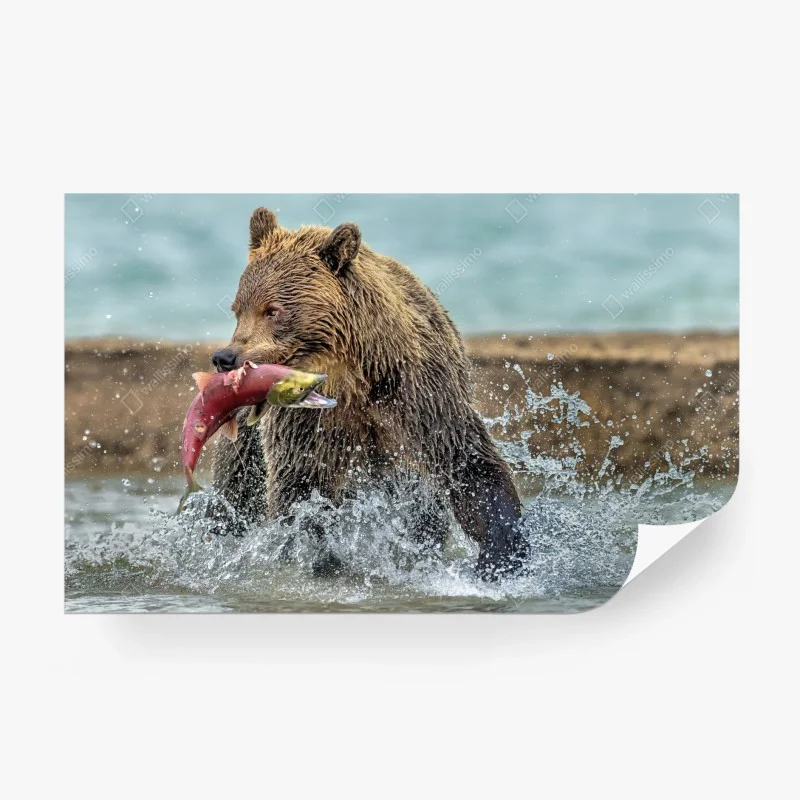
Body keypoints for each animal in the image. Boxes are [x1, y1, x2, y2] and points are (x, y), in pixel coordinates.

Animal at [209, 207, 528, 580]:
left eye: (273, 309)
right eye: (238, 309)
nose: (225, 358)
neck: (353, 375)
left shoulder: (420, 394)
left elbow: (466, 461)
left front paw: (501, 554)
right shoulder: (308, 420)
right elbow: (301, 484)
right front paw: (318, 555)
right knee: (236, 488)